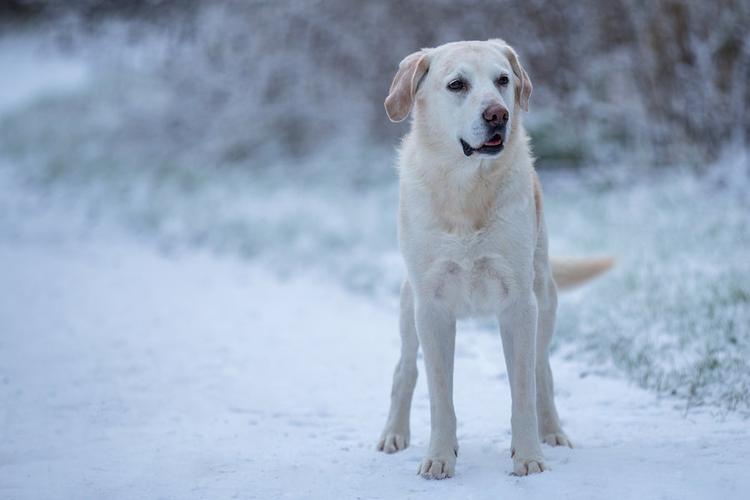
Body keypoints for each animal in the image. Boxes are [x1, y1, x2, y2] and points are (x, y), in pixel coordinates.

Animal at [378, 38, 612, 476]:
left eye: (503, 80)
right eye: (457, 84)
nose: (498, 114)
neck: (468, 190)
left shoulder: (519, 304)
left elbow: (523, 390)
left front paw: (530, 456)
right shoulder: (431, 306)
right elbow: (440, 394)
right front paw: (440, 457)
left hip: (543, 301)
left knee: (542, 373)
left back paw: (552, 432)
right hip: (407, 306)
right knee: (404, 370)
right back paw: (393, 434)